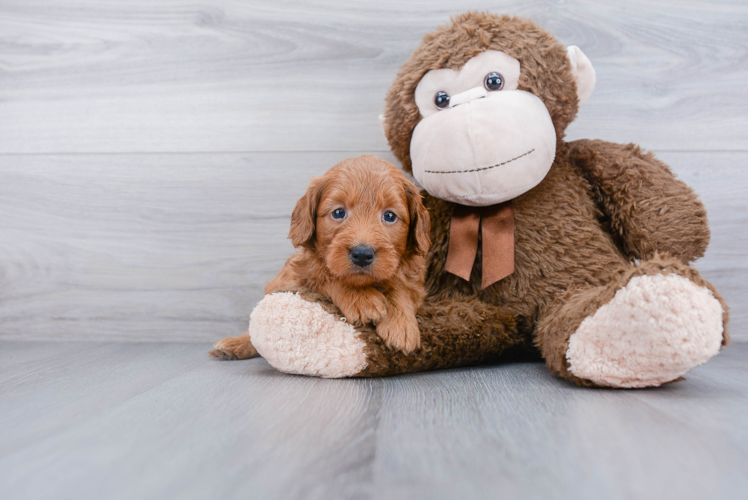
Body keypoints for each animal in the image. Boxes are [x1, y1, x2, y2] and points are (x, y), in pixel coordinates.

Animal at [212, 154, 432, 358]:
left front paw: (401, 325)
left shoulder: (414, 281)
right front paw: (361, 299)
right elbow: (326, 275)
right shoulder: (299, 276)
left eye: (389, 216)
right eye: (339, 212)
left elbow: (400, 289)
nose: (362, 254)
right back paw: (234, 345)